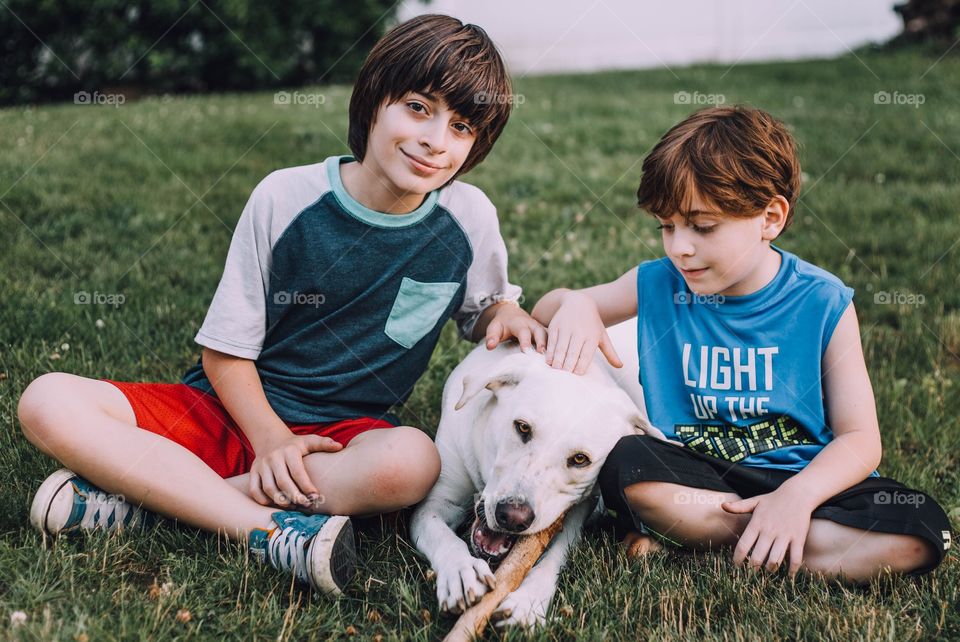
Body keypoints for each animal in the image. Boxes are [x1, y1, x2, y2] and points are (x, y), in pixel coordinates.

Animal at [408, 318, 664, 624]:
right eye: (522, 427)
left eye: (581, 459)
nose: (513, 517)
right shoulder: (436, 501)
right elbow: (439, 532)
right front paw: (460, 570)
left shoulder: (577, 512)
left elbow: (555, 554)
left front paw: (528, 601)